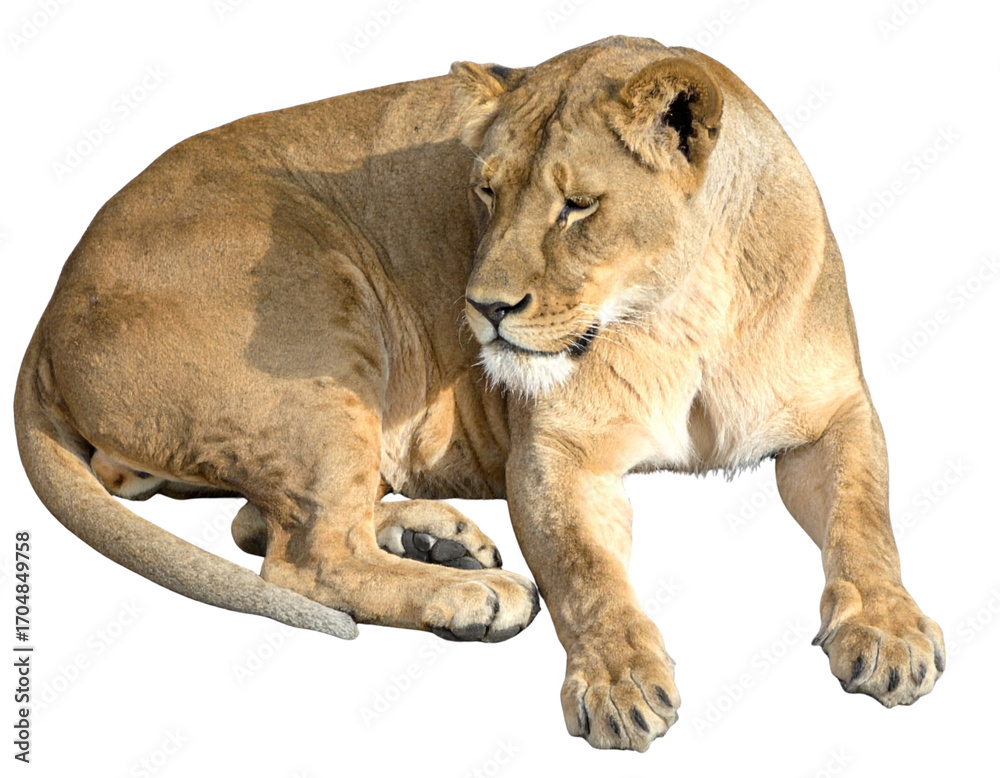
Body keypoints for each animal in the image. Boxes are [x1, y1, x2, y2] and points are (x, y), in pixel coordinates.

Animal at [15, 36, 944, 750]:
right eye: (485, 190)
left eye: (578, 206)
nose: (486, 309)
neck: (681, 315)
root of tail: (51, 303)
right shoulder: (555, 452)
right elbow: (584, 571)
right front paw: (618, 682)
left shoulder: (837, 415)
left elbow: (866, 522)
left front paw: (891, 632)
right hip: (322, 310)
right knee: (303, 555)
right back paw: (473, 594)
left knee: (265, 522)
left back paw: (442, 539)